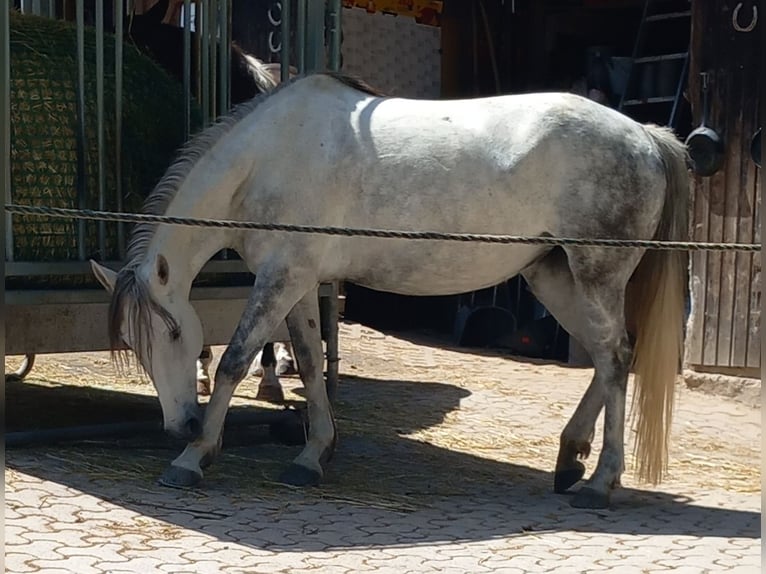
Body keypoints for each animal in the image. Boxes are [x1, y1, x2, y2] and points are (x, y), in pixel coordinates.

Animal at [91, 71, 690, 509]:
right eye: (135, 344)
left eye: (175, 332)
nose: (180, 425)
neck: (269, 157)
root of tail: (645, 136)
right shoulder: (299, 282)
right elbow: (310, 362)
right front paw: (311, 456)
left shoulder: (281, 277)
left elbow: (234, 362)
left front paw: (193, 459)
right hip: (553, 276)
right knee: (603, 361)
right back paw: (570, 461)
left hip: (596, 276)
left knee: (616, 359)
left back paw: (599, 483)